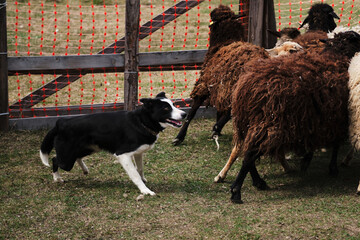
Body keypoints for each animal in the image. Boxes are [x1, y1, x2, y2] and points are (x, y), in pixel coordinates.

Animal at [39, 93, 186, 196]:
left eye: (173, 105)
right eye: (166, 108)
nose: (185, 114)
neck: (141, 122)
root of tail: (61, 122)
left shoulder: (138, 153)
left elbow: (140, 169)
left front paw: (144, 181)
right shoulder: (123, 155)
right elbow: (134, 174)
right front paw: (145, 190)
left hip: (88, 148)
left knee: (78, 157)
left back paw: (85, 169)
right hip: (67, 159)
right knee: (55, 159)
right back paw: (57, 178)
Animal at [229, 31, 360, 203]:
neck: (337, 55)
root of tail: (247, 87)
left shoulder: (317, 119)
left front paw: (306, 161)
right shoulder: (336, 118)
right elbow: (335, 145)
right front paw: (331, 168)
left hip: (247, 122)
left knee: (248, 153)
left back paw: (257, 182)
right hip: (269, 123)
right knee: (250, 155)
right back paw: (237, 190)